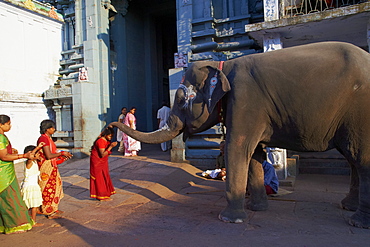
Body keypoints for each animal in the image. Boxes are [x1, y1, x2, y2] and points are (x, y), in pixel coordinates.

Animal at [111, 41, 370, 229]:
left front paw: (229, 219)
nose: (112, 123)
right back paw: (347, 207)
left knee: (361, 159)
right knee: (352, 157)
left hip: (360, 112)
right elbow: (254, 154)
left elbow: (238, 147)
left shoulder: (245, 99)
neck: (223, 64)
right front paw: (257, 209)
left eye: (183, 99)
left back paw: (357, 222)